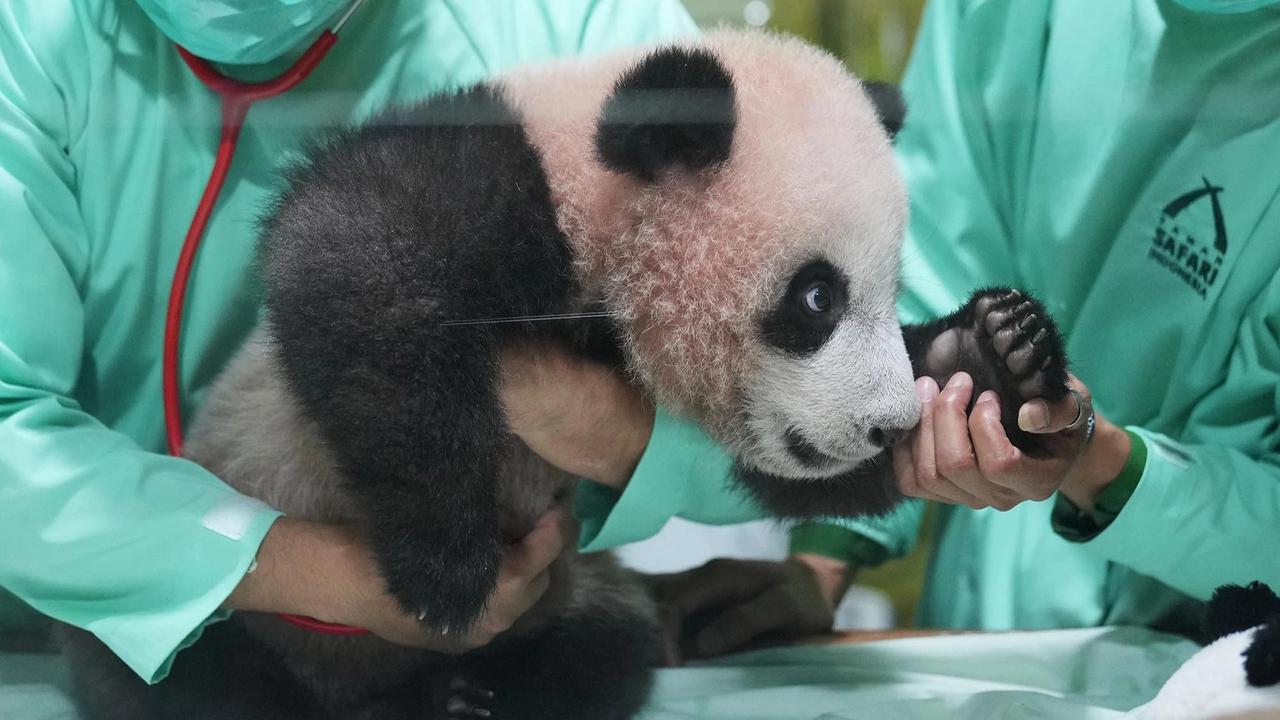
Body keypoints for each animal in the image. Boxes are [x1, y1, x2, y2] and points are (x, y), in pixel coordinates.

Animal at [62, 30, 1069, 720]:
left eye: (887, 291)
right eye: (817, 297)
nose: (887, 426)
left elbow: (786, 479)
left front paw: (990, 353)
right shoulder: (500, 176)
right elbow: (354, 261)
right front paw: (446, 569)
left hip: (568, 593)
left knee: (607, 647)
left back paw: (472, 696)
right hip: (239, 592)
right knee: (180, 681)